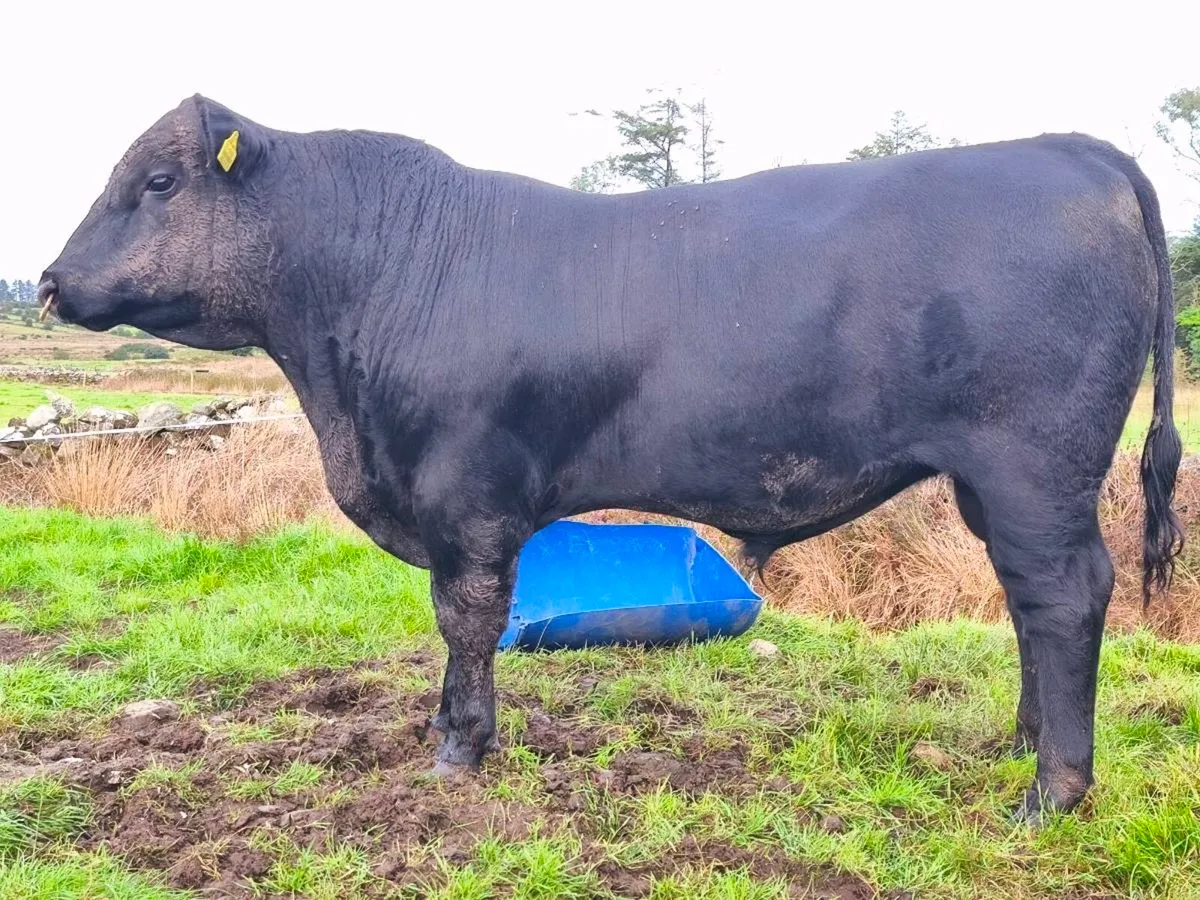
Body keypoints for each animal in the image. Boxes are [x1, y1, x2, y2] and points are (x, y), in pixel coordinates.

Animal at [38, 95, 1182, 824]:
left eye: (157, 179)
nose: (47, 280)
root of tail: (1068, 148)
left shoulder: (466, 498)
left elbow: (466, 621)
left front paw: (458, 751)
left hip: (1034, 466)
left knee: (1065, 595)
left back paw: (1051, 793)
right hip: (999, 483)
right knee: (1030, 602)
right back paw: (1020, 744)